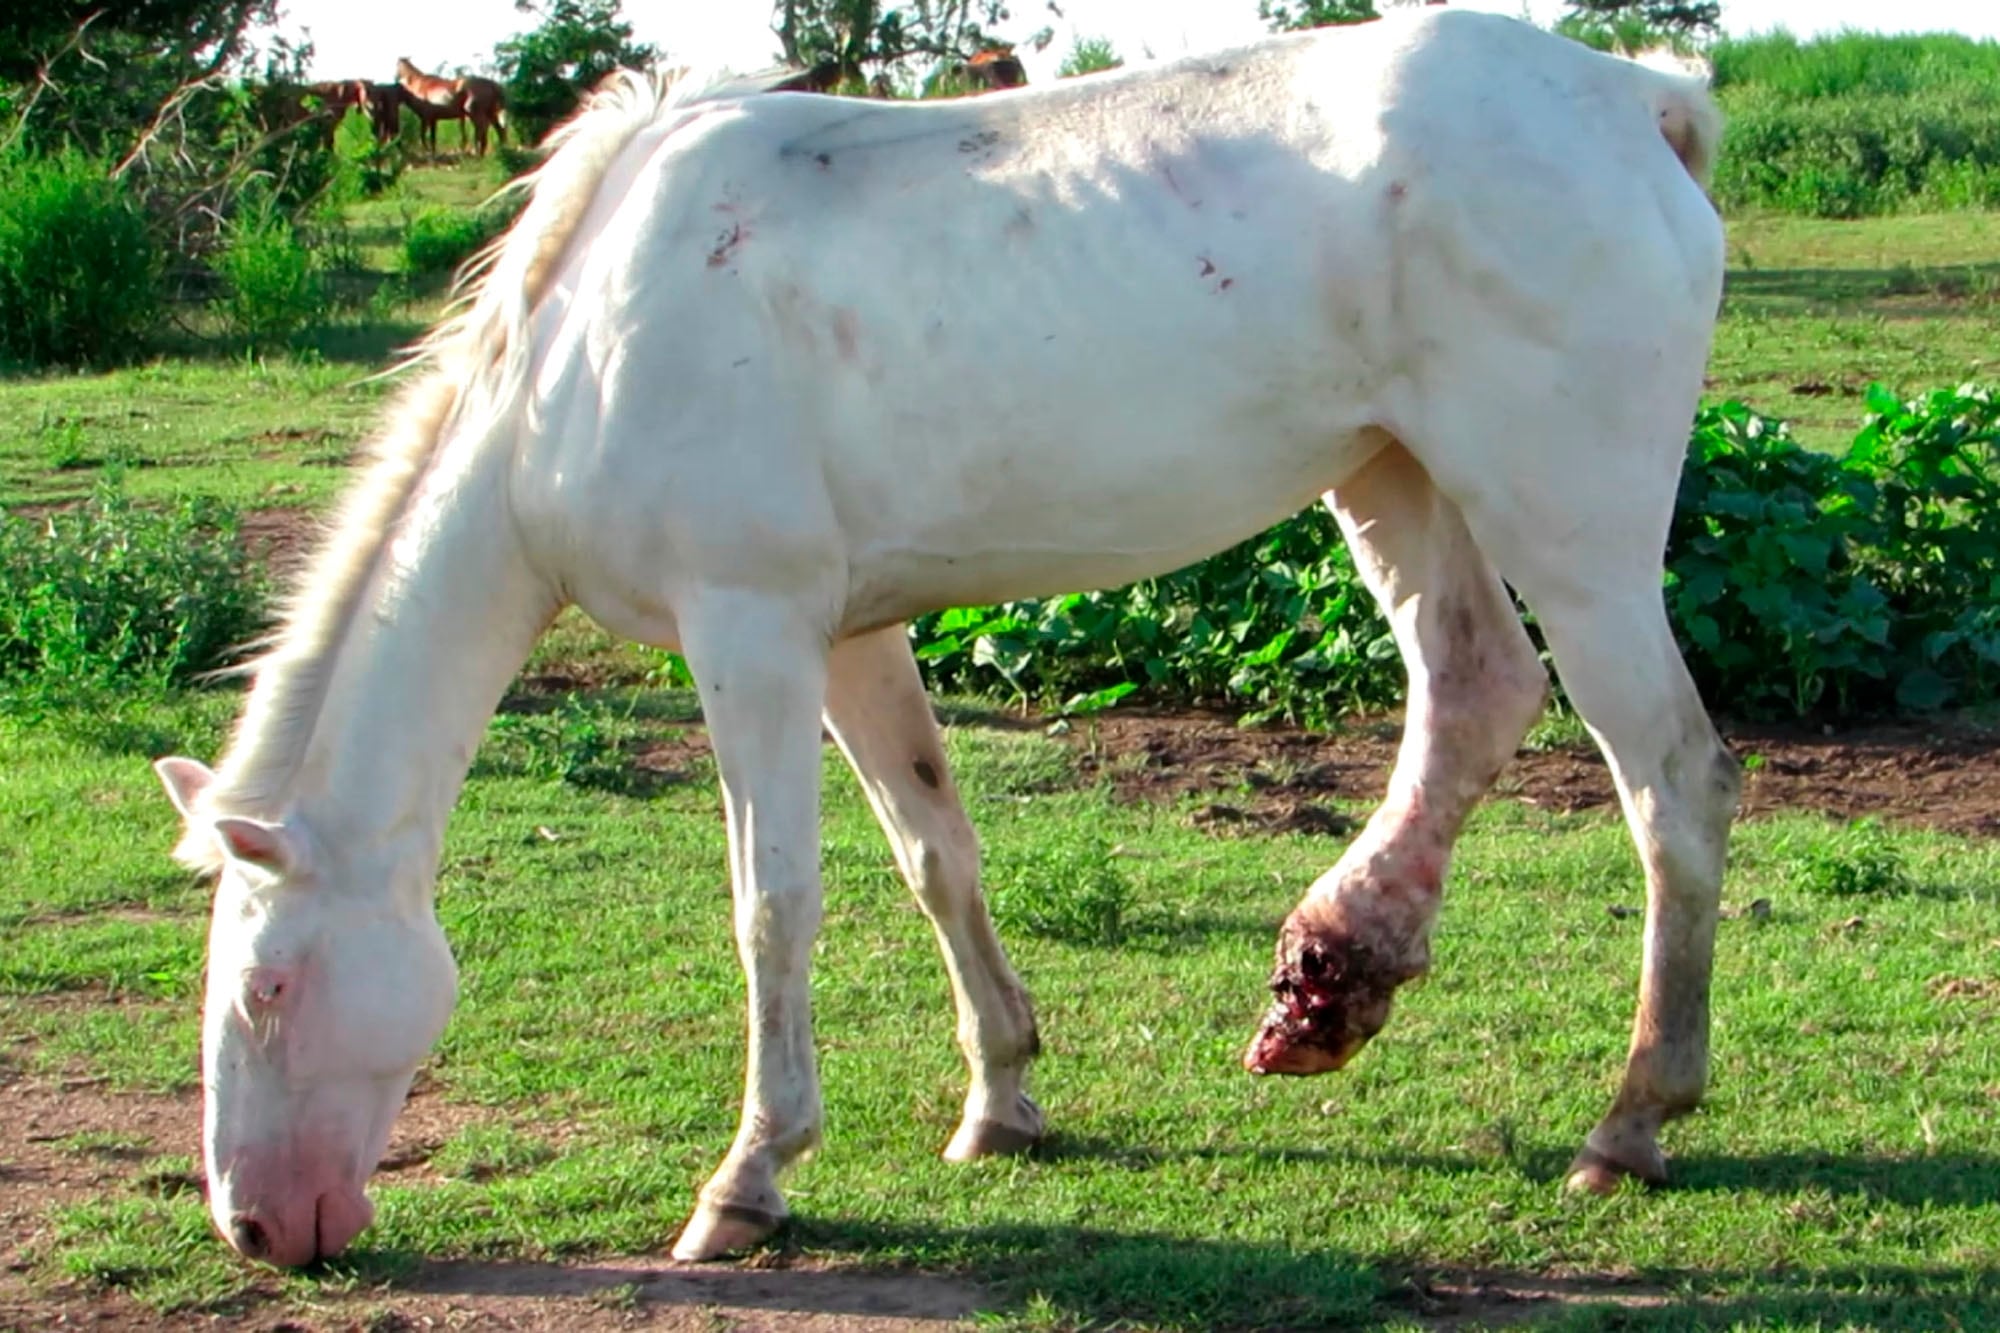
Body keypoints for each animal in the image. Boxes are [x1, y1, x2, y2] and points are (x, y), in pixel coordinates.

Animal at [155, 8, 1731, 1269]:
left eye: (265, 989)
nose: (253, 1226)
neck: (582, 353)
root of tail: (1632, 99)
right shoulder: (851, 640)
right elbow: (934, 852)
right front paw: (1003, 1096)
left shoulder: (748, 632)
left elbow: (772, 905)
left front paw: (750, 1177)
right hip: (1394, 476)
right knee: (1475, 687)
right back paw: (1329, 977)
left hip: (1568, 529)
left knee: (1672, 782)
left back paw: (1632, 1116)